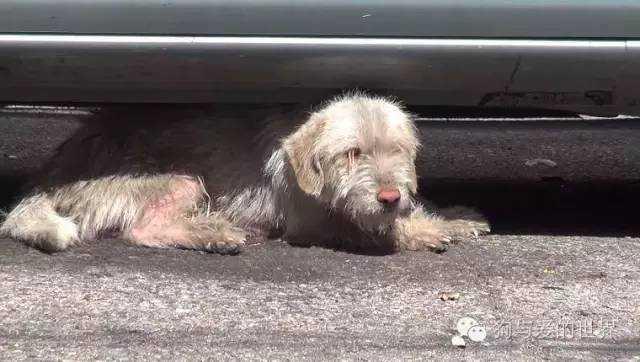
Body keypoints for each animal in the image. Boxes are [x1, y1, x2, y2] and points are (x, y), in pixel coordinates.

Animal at [0, 92, 490, 255]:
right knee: (142, 229)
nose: (389, 197)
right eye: (352, 154)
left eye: (398, 151)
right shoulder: (312, 223)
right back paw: (215, 234)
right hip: (179, 180)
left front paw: (456, 215)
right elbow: (369, 228)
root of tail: (51, 173)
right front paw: (423, 232)